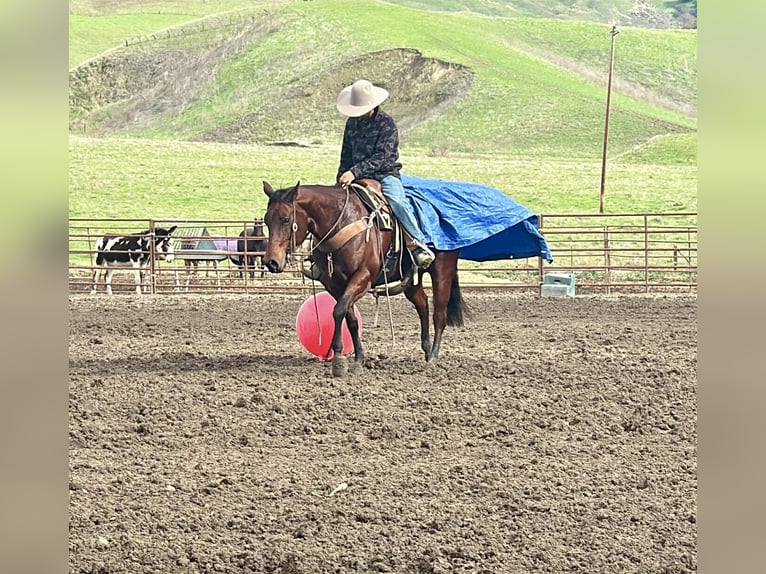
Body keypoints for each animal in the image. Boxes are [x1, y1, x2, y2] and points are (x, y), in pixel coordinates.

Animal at [261, 180, 467, 376]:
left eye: (285, 219)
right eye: (266, 221)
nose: (271, 262)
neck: (341, 222)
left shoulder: (363, 277)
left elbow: (338, 311)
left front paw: (338, 359)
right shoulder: (335, 285)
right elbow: (350, 319)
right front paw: (358, 359)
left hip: (442, 272)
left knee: (439, 316)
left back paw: (433, 358)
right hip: (411, 281)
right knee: (423, 305)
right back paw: (426, 350)